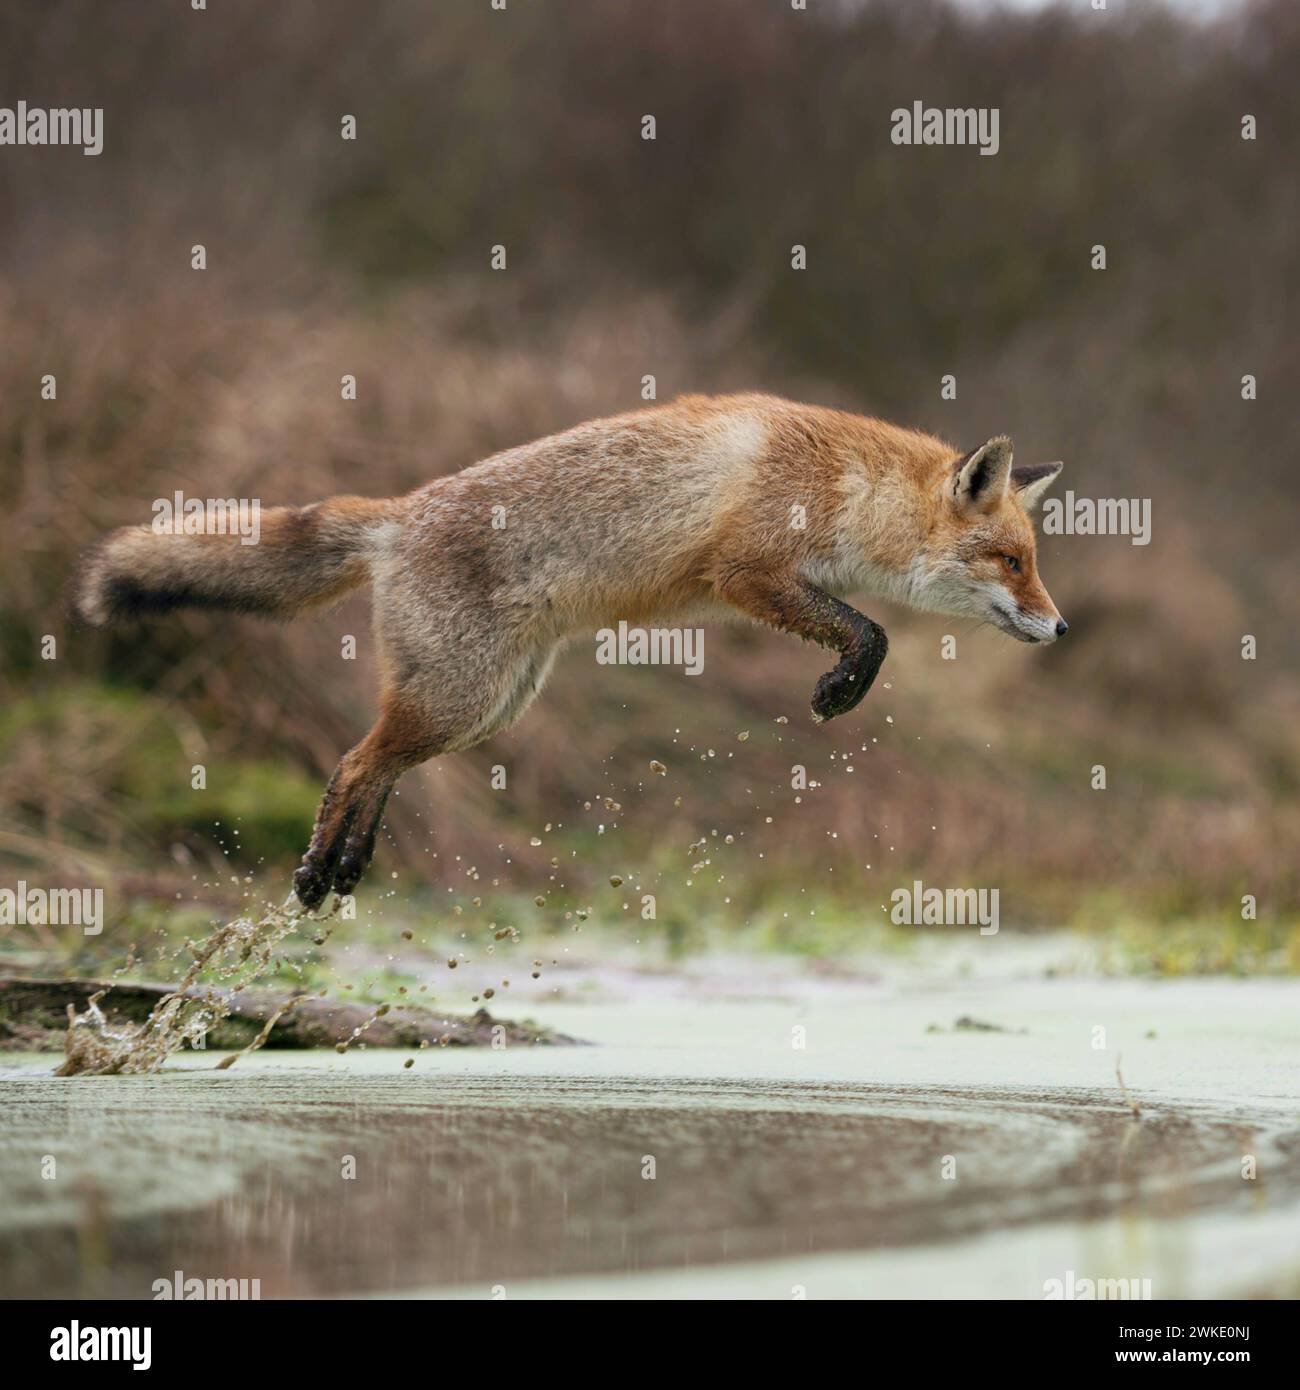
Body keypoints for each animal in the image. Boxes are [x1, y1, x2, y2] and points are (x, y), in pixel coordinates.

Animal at [73, 391, 1067, 911]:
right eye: (1012, 561)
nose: (1060, 628)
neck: (843, 485)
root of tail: (400, 514)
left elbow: (867, 622)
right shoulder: (745, 571)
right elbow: (873, 630)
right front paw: (840, 689)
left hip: (485, 707)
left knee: (376, 763)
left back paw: (349, 864)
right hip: (462, 698)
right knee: (354, 762)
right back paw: (319, 871)